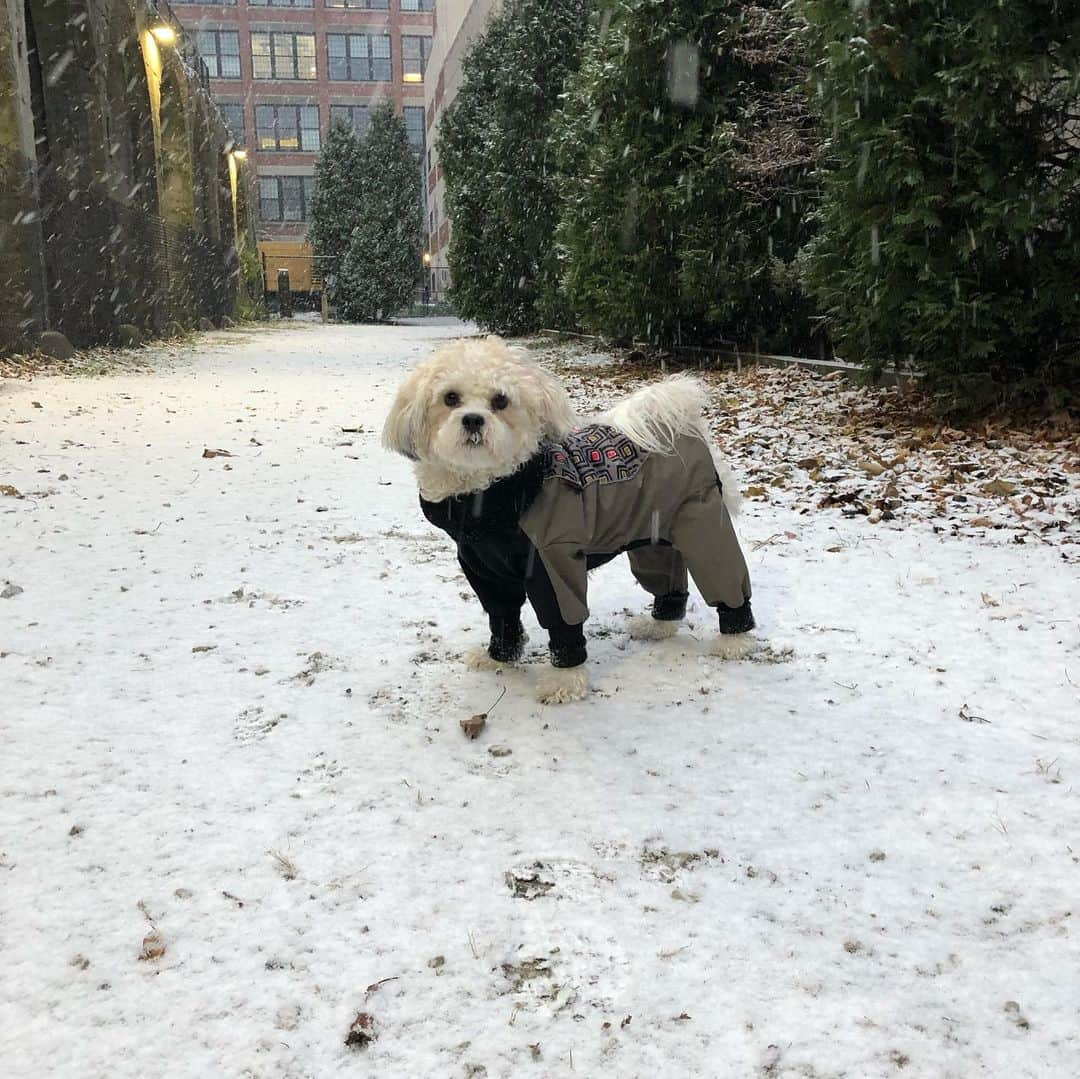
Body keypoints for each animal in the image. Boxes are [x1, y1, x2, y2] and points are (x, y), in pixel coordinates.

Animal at [384, 339, 756, 708]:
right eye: (450, 398)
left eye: (500, 400)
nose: (473, 420)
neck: (493, 495)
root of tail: (682, 427)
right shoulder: (484, 571)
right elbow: (502, 616)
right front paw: (498, 658)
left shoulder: (551, 561)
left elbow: (563, 620)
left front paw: (564, 680)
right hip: (653, 535)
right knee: (667, 582)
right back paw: (659, 626)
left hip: (702, 525)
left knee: (724, 577)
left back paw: (735, 640)